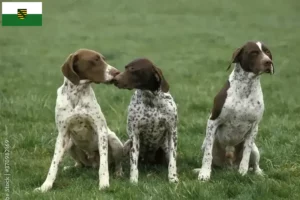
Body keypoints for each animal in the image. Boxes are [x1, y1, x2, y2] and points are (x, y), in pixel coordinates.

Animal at [34, 48, 123, 192]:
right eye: (95, 60)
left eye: (103, 59)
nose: (117, 72)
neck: (77, 93)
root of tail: (92, 163)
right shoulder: (62, 134)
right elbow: (54, 164)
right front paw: (45, 186)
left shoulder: (101, 131)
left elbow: (103, 165)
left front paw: (104, 184)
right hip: (70, 144)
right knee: (79, 164)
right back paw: (71, 168)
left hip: (114, 140)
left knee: (116, 163)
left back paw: (118, 173)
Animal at [196, 41, 276, 180]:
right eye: (254, 53)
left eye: (267, 52)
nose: (268, 62)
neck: (246, 88)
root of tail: (229, 166)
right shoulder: (213, 122)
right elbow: (207, 155)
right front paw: (204, 174)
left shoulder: (254, 127)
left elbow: (246, 155)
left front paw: (243, 172)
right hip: (205, 144)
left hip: (255, 149)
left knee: (254, 164)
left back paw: (258, 173)